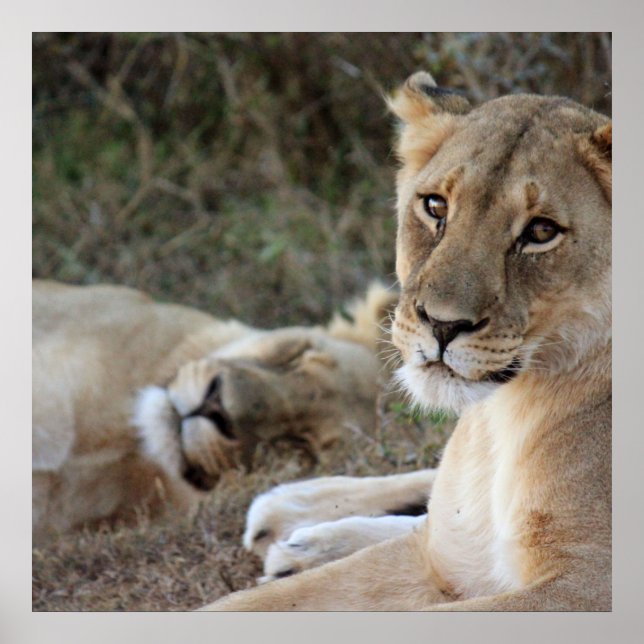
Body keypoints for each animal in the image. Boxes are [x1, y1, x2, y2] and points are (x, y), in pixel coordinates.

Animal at [204, 71, 611, 611]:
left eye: (542, 231)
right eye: (435, 206)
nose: (441, 324)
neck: (505, 420)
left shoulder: (587, 587)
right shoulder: (440, 557)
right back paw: (295, 518)